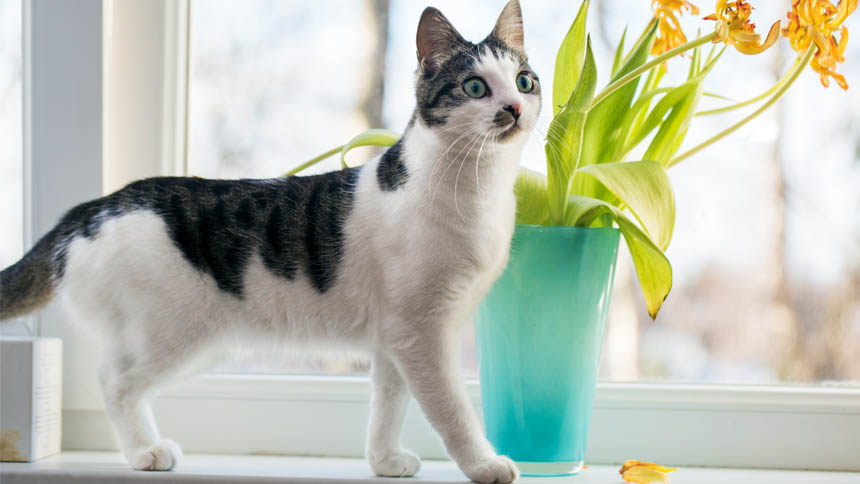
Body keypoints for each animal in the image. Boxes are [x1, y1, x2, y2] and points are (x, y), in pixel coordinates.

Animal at [0, 1, 536, 482]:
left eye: (525, 81)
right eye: (474, 87)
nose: (513, 108)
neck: (480, 191)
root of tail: (90, 209)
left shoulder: (395, 339)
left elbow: (388, 404)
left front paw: (384, 461)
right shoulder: (423, 334)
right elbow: (451, 409)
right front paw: (485, 464)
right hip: (172, 334)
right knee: (115, 382)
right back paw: (145, 452)